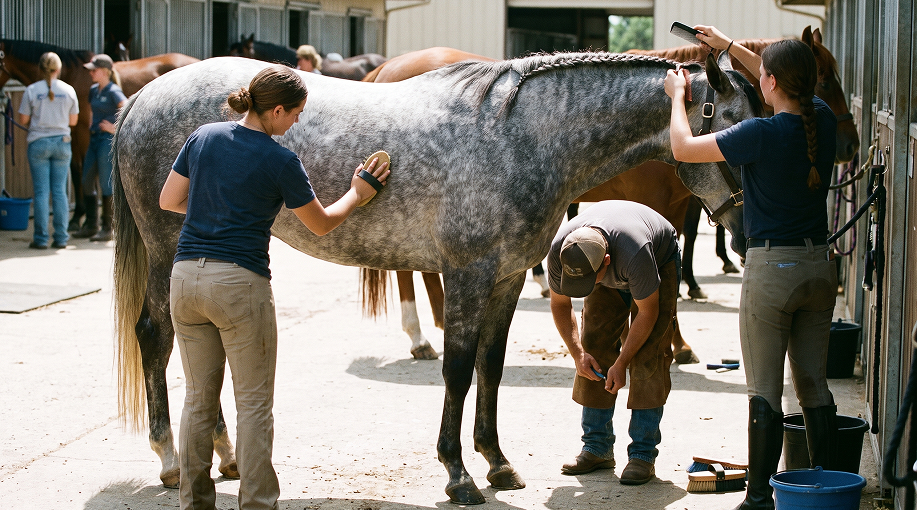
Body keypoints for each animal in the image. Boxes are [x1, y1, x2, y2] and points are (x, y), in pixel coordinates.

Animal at [113, 51, 757, 503]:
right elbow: (457, 369)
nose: (748, 237)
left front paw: (497, 463)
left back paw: (223, 456)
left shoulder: (506, 279)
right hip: (169, 249)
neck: (523, 138)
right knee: (156, 336)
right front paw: (458, 474)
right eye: (732, 125)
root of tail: (141, 97)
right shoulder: (469, 276)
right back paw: (171, 462)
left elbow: (490, 369)